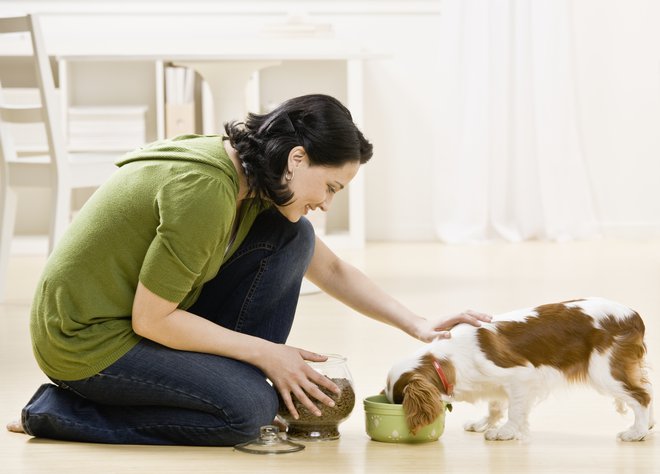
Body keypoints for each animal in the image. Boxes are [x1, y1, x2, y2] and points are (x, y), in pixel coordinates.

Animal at [384, 298, 652, 442]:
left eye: (399, 401)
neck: (448, 359)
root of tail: (634, 315)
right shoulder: (496, 383)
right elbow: (495, 406)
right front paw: (483, 424)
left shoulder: (521, 377)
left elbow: (514, 410)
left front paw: (505, 432)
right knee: (645, 389)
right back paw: (648, 425)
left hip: (604, 372)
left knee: (642, 396)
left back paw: (636, 433)